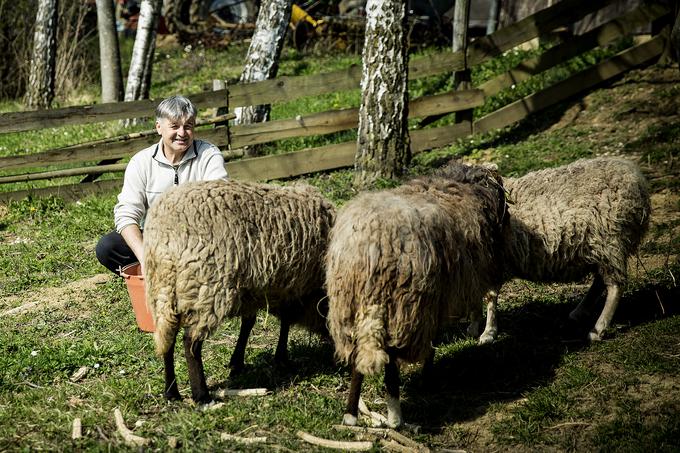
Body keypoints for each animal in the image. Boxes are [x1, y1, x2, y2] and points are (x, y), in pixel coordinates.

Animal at [143, 178, 334, 400]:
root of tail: (165, 237)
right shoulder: (291, 286)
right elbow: (285, 321)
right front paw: (281, 358)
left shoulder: (253, 290)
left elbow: (248, 323)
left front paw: (237, 362)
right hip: (208, 287)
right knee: (190, 342)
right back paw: (202, 395)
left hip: (162, 290)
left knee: (167, 337)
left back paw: (171, 392)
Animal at [326, 163, 510, 428]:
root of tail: (372, 245)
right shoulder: (442, 293)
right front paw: (428, 376)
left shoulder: (458, 280)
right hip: (404, 306)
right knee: (391, 359)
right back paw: (395, 417)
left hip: (352, 307)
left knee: (358, 356)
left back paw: (351, 414)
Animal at [476, 156, 652, 342]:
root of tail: (634, 175)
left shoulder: (490, 263)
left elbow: (490, 296)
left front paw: (488, 332)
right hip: (599, 248)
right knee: (600, 281)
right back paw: (580, 312)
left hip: (610, 241)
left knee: (615, 286)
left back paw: (598, 329)